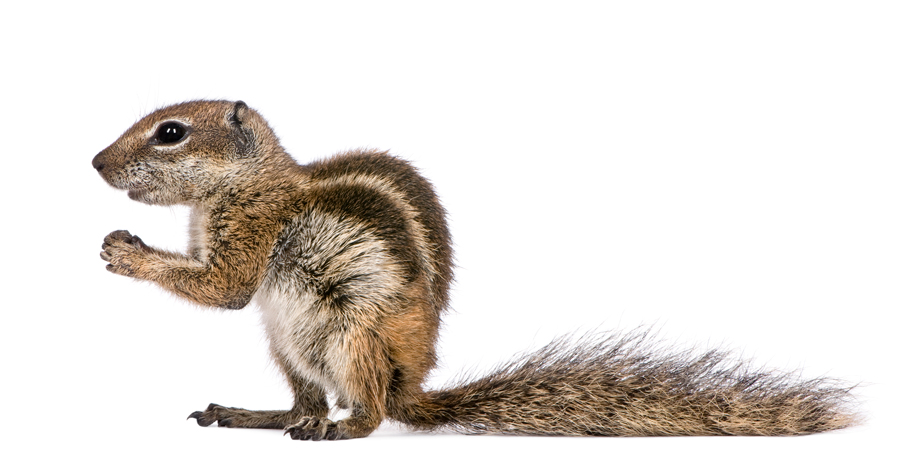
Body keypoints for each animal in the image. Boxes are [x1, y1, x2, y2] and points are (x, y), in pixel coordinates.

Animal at [93, 100, 856, 440]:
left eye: (170, 132)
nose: (96, 163)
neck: (245, 182)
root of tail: (407, 385)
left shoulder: (253, 230)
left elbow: (225, 288)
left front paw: (126, 252)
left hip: (351, 335)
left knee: (365, 412)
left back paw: (345, 428)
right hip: (288, 343)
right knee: (306, 401)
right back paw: (258, 414)